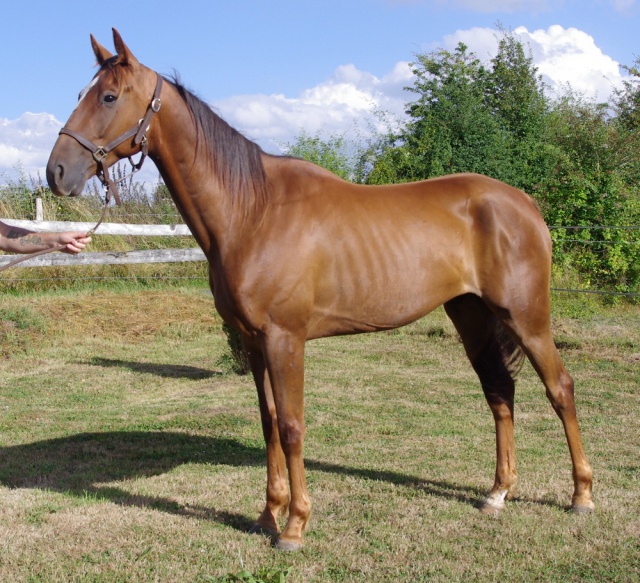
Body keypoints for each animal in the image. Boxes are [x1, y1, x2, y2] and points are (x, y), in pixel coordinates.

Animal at [46, 29, 596, 548]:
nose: (57, 171)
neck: (252, 211)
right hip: (472, 315)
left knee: (560, 389)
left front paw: (294, 527)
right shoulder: (254, 343)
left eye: (109, 97)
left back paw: (581, 496)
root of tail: (523, 202)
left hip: (526, 318)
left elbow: (292, 427)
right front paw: (267, 515)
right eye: (84, 92)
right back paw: (498, 493)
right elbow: (268, 423)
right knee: (499, 391)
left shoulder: (285, 339)